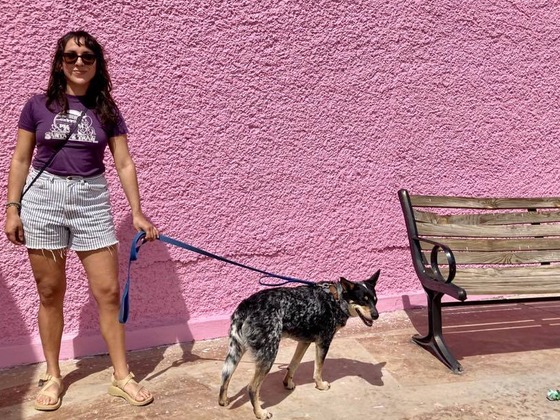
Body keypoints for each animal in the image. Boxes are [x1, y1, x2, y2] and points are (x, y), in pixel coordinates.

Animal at [219, 270, 380, 418]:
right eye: (363, 300)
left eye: (375, 300)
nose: (376, 315)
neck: (335, 298)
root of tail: (246, 305)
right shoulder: (324, 342)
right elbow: (318, 369)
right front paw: (320, 385)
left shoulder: (304, 342)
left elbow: (293, 364)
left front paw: (287, 382)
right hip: (269, 354)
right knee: (252, 387)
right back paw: (260, 413)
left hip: (236, 351)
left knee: (226, 375)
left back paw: (223, 401)